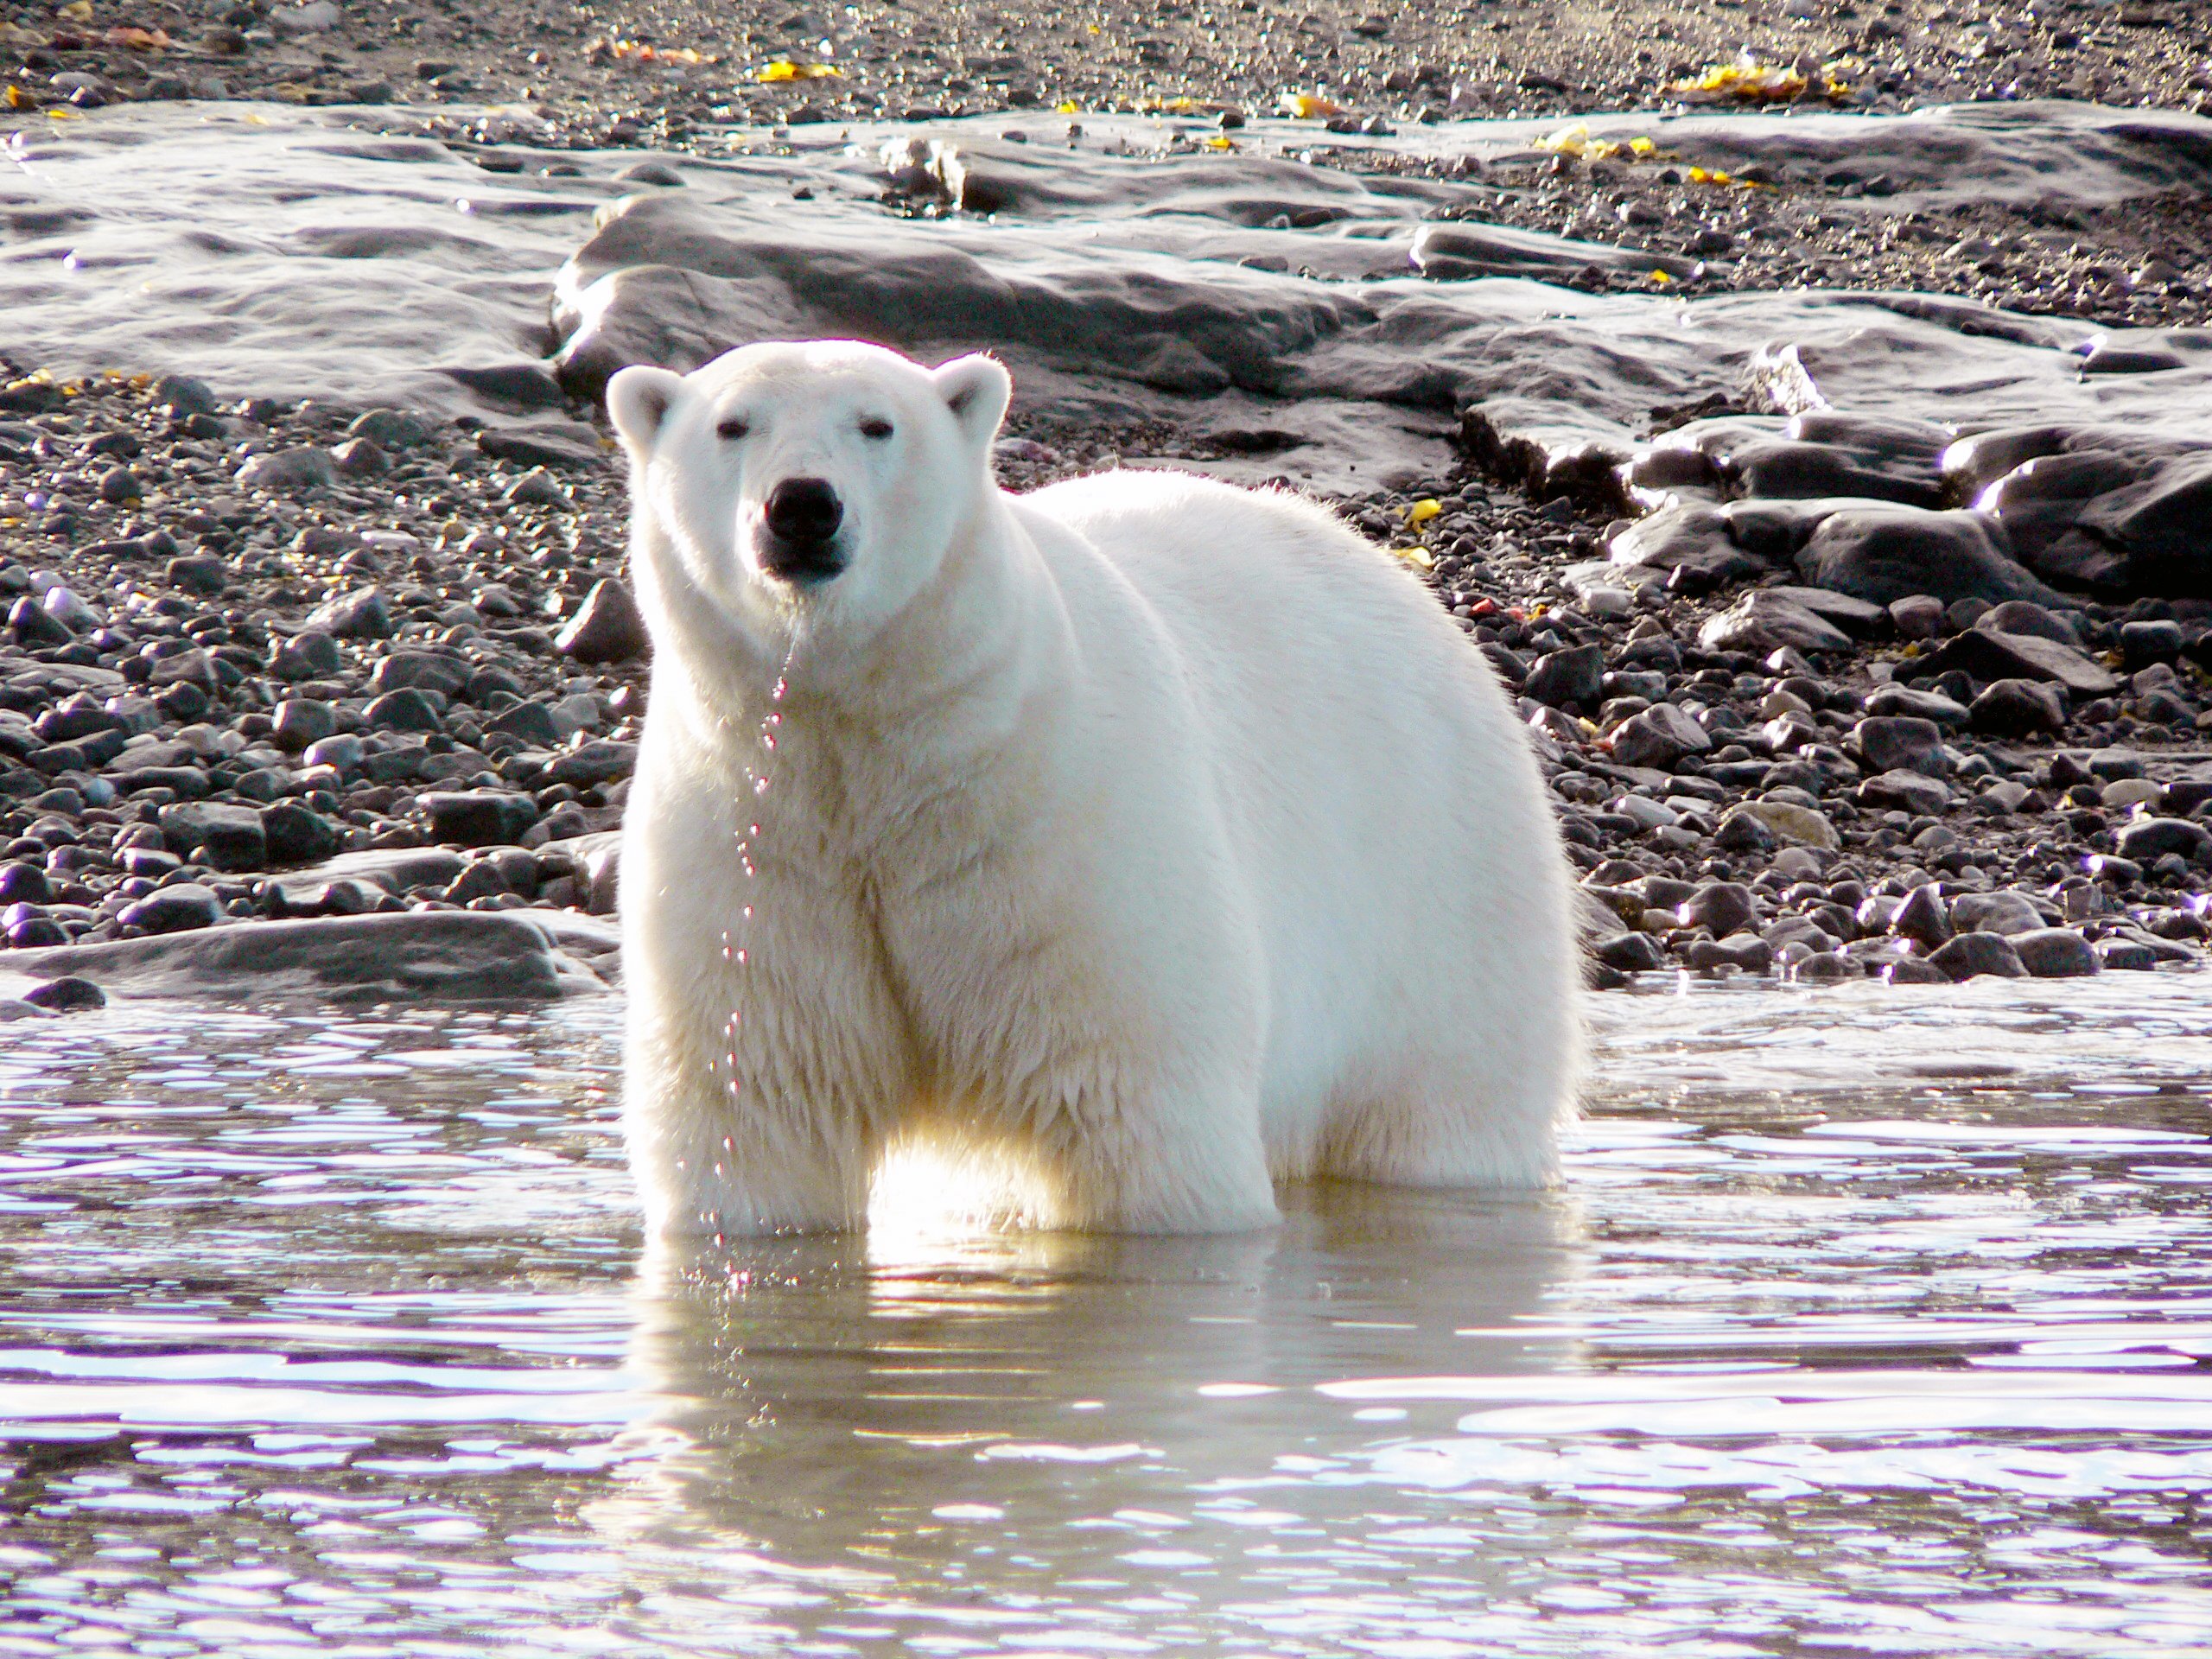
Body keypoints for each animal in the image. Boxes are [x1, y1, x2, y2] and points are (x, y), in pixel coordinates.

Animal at [597, 345, 1583, 1238]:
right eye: (732, 425)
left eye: (877, 424)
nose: (803, 505)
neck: (878, 746)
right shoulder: (759, 840)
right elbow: (758, 1108)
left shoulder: (1059, 826)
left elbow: (1132, 1105)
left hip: (1444, 897)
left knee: (1443, 1107)